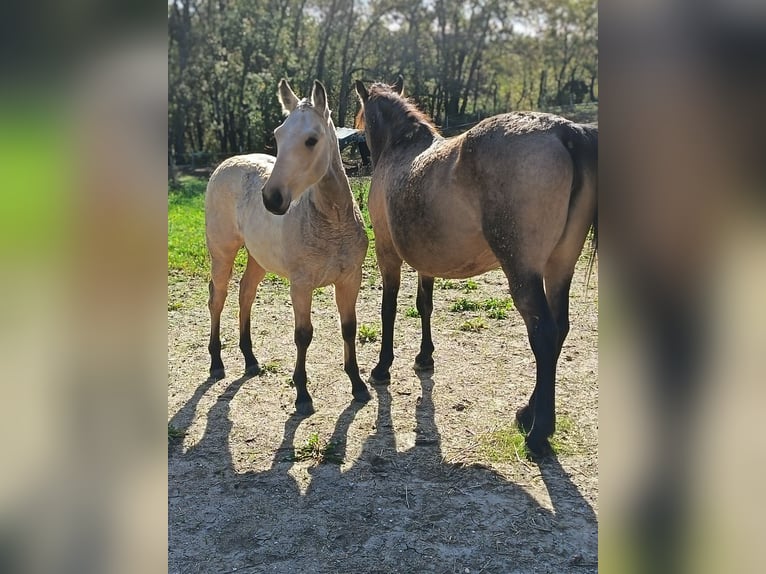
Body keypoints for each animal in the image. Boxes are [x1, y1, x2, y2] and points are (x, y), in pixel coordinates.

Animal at [205, 79, 371, 415]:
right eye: (278, 135)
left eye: (311, 140)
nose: (272, 199)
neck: (332, 221)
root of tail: (225, 164)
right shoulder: (301, 285)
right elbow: (303, 335)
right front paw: (303, 394)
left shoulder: (350, 279)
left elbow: (349, 327)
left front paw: (358, 384)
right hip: (222, 253)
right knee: (218, 299)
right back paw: (216, 362)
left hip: (257, 258)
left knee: (245, 294)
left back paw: (250, 359)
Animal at [354, 77, 597, 457]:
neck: (401, 148)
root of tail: (566, 131)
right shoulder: (427, 261)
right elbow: (424, 305)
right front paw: (425, 357)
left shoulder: (386, 251)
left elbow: (388, 308)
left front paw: (382, 367)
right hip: (560, 268)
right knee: (559, 329)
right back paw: (528, 413)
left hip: (523, 272)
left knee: (543, 334)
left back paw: (538, 432)